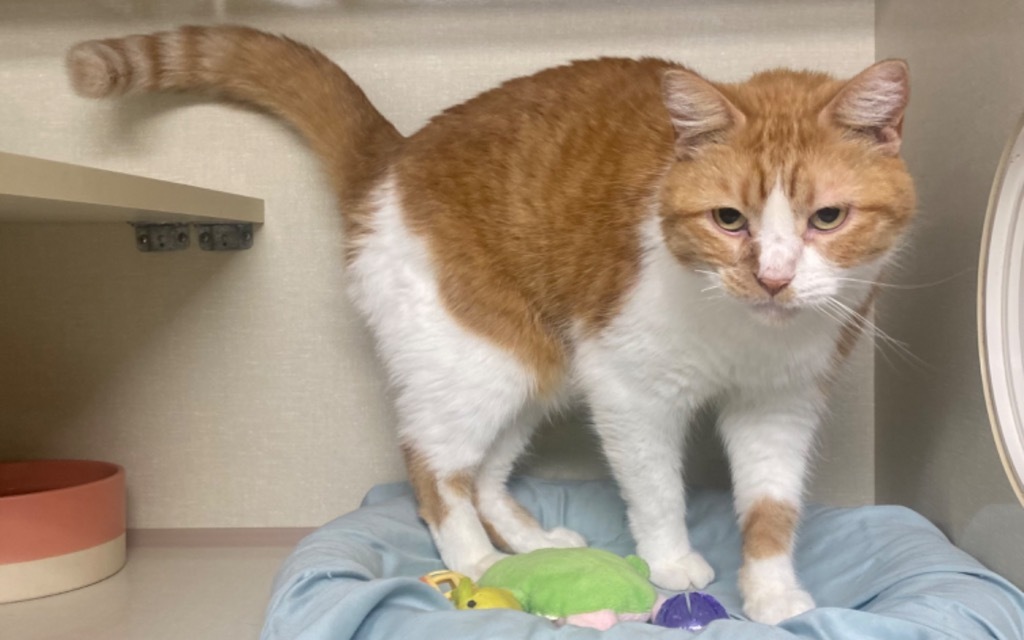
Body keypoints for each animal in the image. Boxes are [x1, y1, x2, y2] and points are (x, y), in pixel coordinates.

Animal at [66, 27, 913, 622]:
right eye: (729, 219)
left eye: (827, 219)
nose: (773, 277)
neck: (745, 330)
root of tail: (395, 156)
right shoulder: (631, 391)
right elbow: (656, 491)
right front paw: (673, 564)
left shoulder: (778, 405)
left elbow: (772, 508)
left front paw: (771, 595)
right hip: (481, 363)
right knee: (434, 470)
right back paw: (475, 564)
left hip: (536, 365)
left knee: (486, 473)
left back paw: (532, 544)